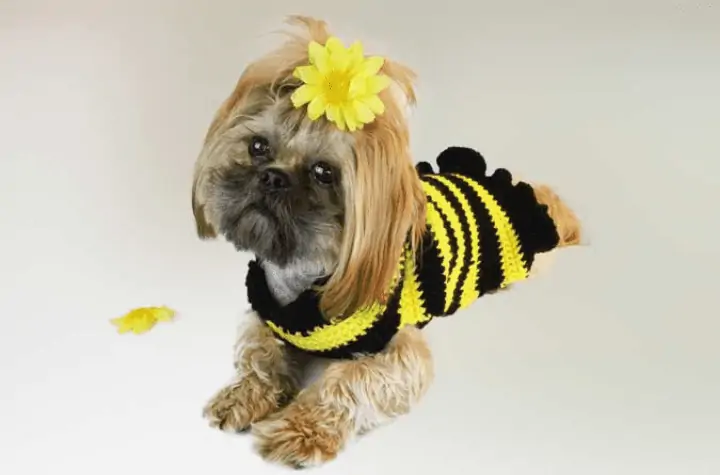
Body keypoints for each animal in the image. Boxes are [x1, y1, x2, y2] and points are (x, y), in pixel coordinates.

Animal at [191, 14, 580, 468]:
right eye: (258, 146)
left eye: (324, 172)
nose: (273, 177)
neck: (304, 275)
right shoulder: (264, 316)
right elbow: (258, 354)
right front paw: (243, 393)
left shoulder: (399, 353)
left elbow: (347, 379)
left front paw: (302, 428)